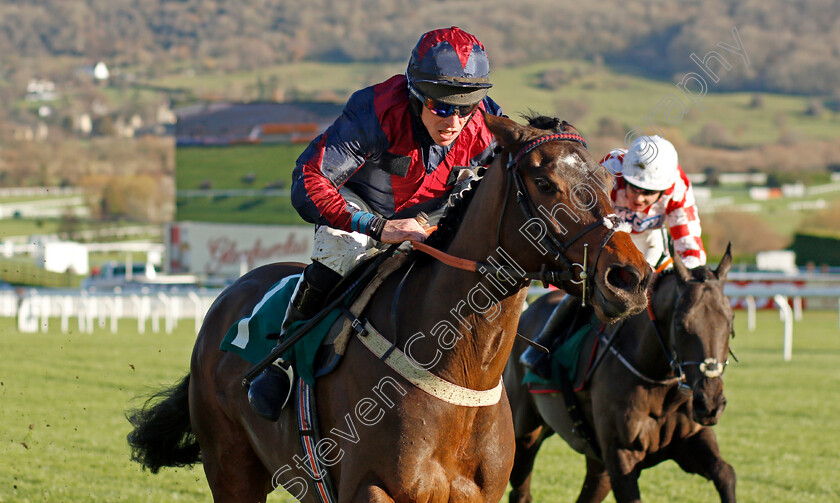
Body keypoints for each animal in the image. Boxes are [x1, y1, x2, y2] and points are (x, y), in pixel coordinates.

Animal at [126, 114, 648, 503]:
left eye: (606, 179)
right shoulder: (371, 489)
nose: (630, 278)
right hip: (231, 465)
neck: (460, 373)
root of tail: (228, 297)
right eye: (543, 181)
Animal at [506, 246, 736, 502]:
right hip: (524, 433)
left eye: (730, 322)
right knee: (520, 489)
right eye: (680, 324)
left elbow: (725, 474)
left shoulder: (690, 440)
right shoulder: (620, 457)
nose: (710, 403)